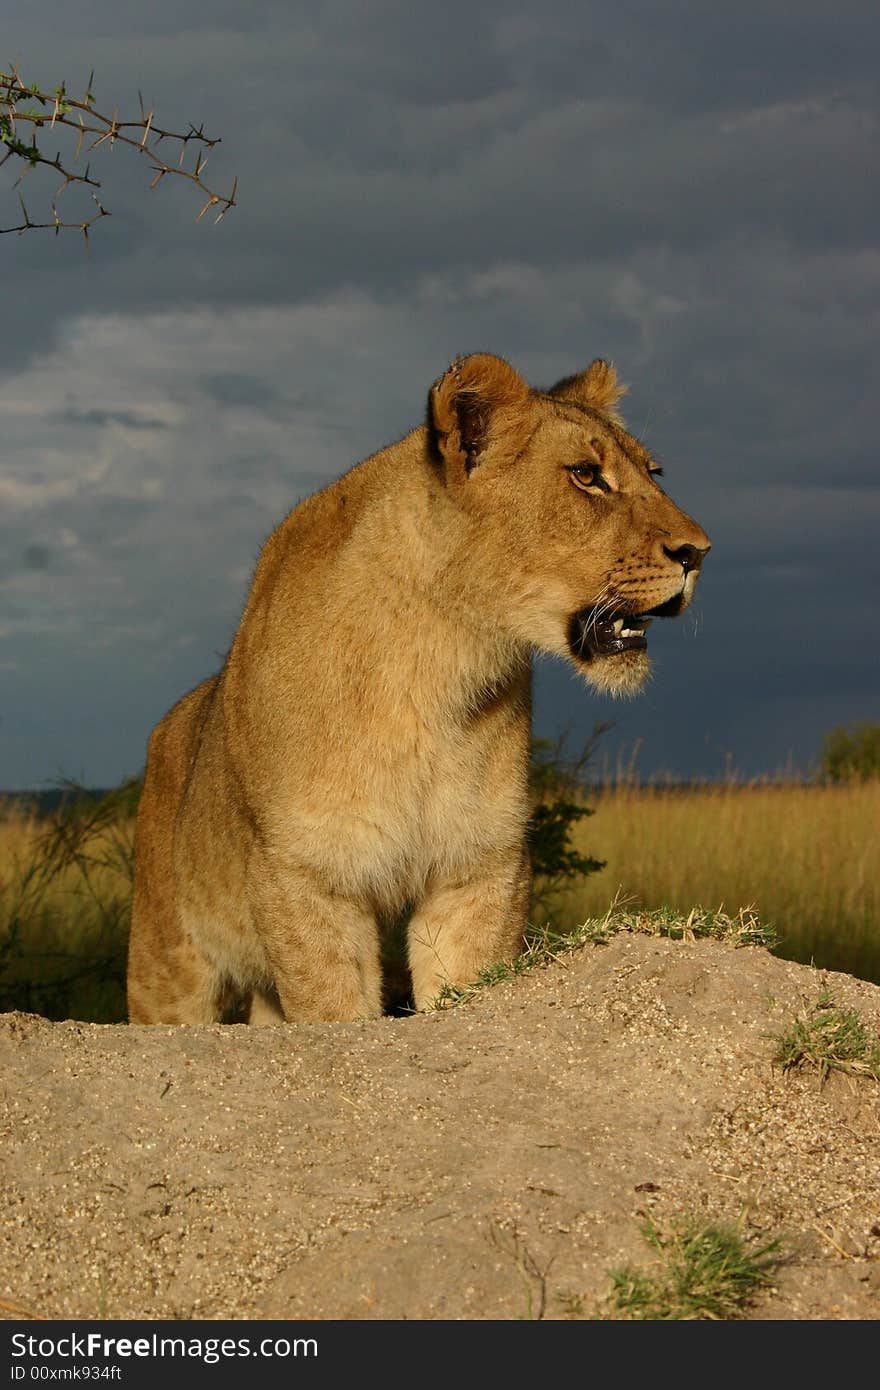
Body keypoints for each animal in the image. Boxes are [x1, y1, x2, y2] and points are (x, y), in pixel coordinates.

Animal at [127, 355, 711, 1034]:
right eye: (587, 477)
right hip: (166, 958)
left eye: (653, 473)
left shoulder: (480, 866)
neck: (437, 665)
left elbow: (464, 988)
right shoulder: (308, 877)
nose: (699, 551)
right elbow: (336, 1012)